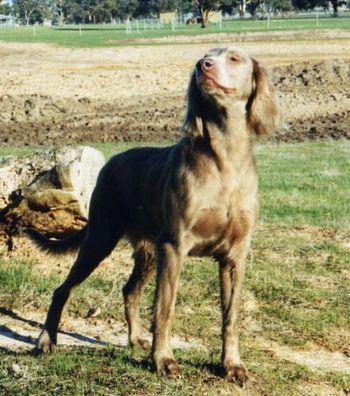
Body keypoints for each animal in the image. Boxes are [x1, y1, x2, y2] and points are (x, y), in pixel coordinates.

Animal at [26, 47, 280, 386]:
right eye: (206, 56)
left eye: (234, 58)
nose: (202, 66)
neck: (225, 159)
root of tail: (112, 161)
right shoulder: (174, 247)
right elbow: (164, 308)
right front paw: (164, 360)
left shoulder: (235, 255)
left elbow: (231, 316)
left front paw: (232, 365)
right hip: (101, 238)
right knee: (62, 289)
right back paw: (46, 341)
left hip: (146, 250)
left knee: (129, 291)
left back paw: (134, 339)